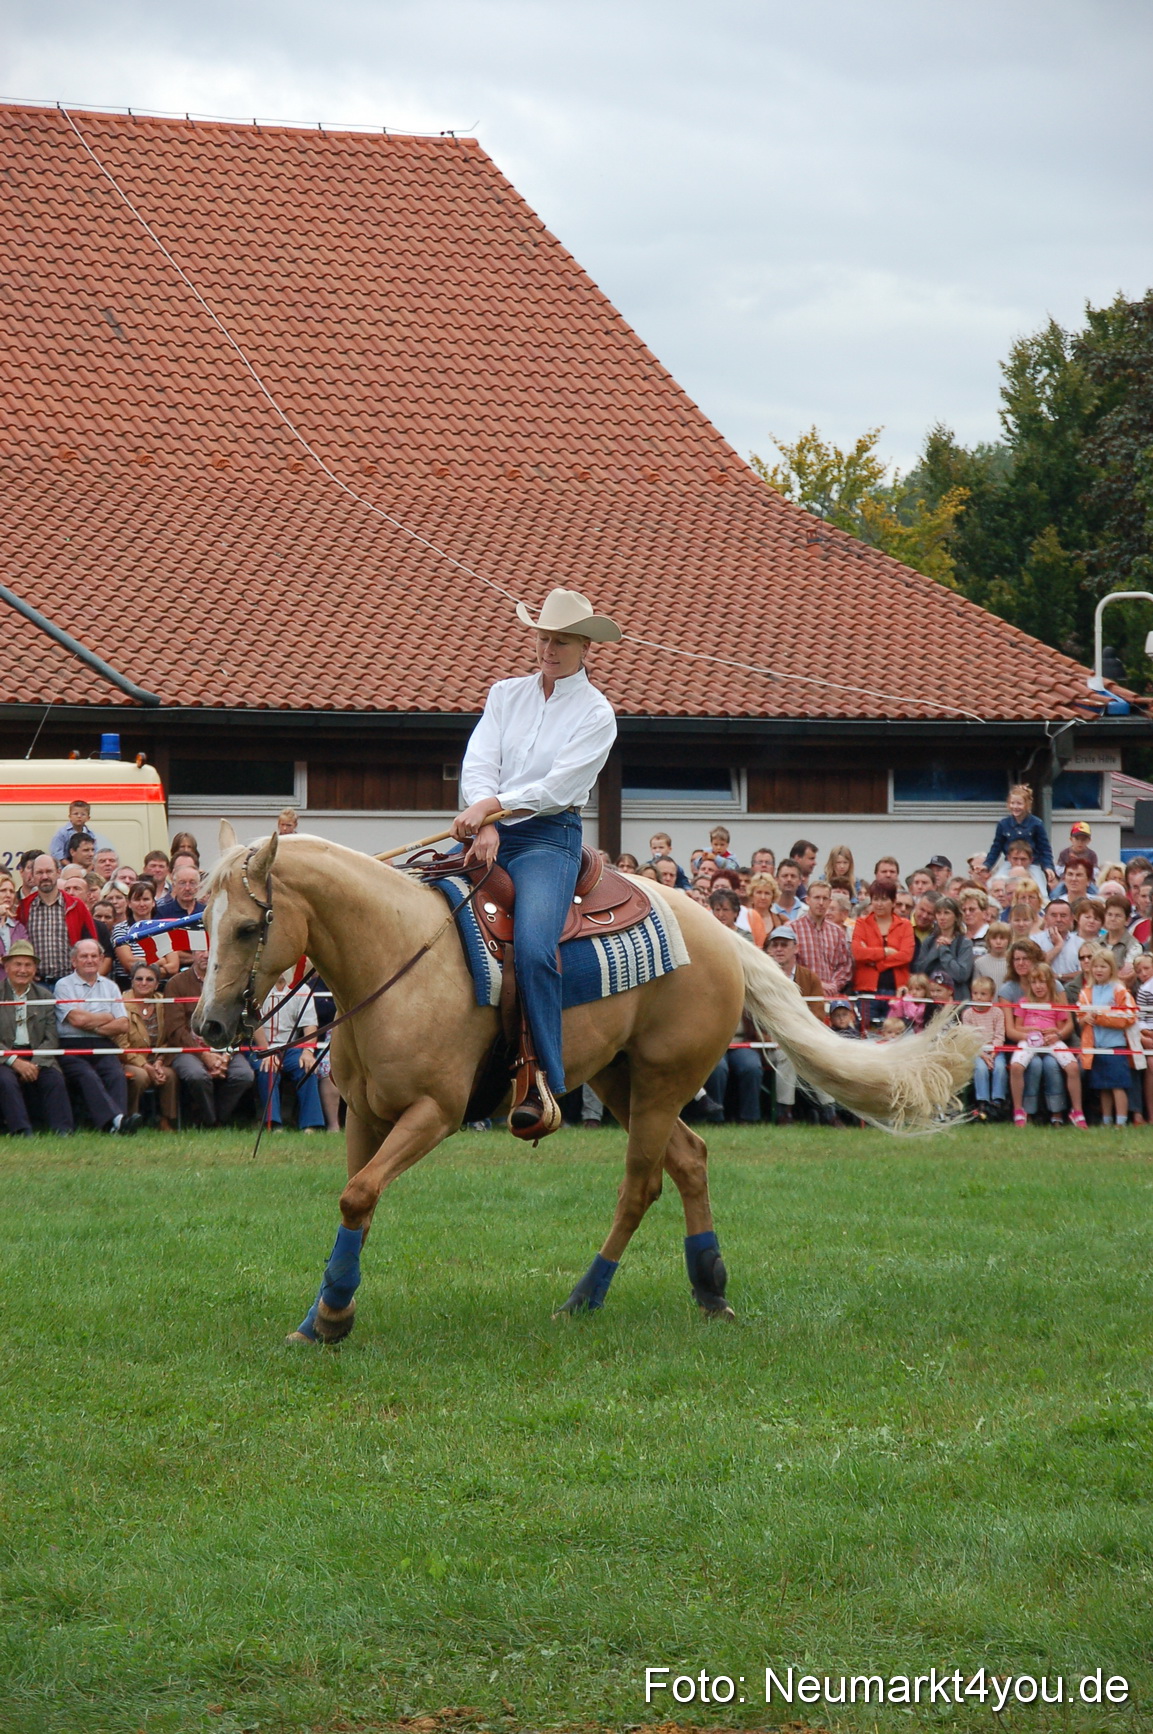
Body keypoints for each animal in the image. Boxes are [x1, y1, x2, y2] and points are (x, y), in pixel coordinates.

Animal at [194, 826, 985, 1342]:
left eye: (247, 927)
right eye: (202, 920)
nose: (207, 1023)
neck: (399, 957)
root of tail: (717, 932)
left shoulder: (434, 1113)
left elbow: (358, 1195)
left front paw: (331, 1316)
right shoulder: (364, 1114)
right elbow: (357, 1201)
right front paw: (324, 1314)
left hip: (660, 1080)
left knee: (642, 1184)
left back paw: (584, 1297)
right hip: (621, 1076)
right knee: (690, 1160)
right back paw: (710, 1290)